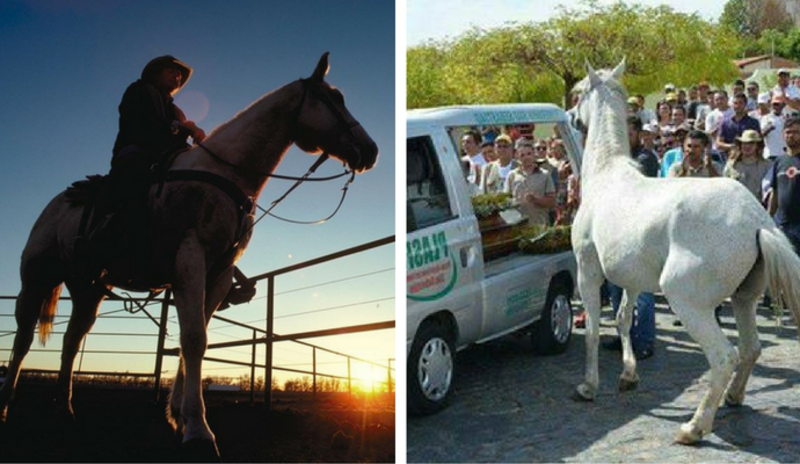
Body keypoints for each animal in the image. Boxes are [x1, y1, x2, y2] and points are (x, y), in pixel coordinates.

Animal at [0, 52, 378, 458]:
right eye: (335, 98)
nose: (371, 151)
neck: (225, 173)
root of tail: (55, 204)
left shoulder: (218, 274)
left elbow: (196, 338)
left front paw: (179, 417)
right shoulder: (190, 263)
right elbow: (195, 339)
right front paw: (198, 430)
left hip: (88, 289)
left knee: (72, 341)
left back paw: (64, 410)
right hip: (36, 277)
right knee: (22, 340)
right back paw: (6, 406)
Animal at [572, 59, 800, 444]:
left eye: (577, 92)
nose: (573, 117)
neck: (606, 175)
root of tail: (758, 222)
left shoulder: (587, 272)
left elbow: (591, 330)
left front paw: (588, 387)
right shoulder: (631, 280)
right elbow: (623, 319)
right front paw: (628, 376)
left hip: (688, 302)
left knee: (725, 357)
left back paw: (694, 427)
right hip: (744, 299)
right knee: (751, 348)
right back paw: (733, 398)